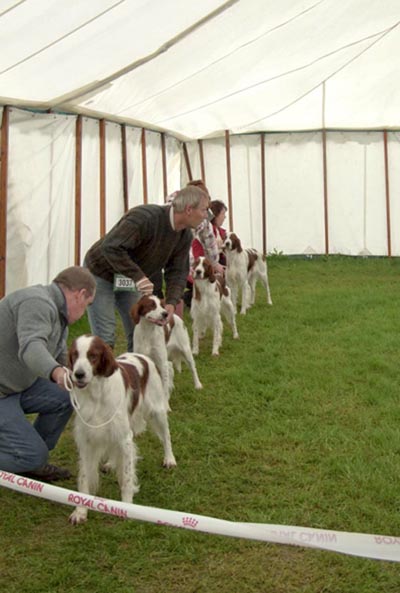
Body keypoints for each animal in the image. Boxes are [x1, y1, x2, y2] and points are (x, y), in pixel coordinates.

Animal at [67, 334, 176, 525]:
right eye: (75, 354)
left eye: (93, 355)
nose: (78, 374)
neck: (96, 395)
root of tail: (142, 356)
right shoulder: (87, 440)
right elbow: (84, 478)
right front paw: (80, 511)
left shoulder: (124, 438)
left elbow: (126, 477)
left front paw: (126, 506)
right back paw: (111, 463)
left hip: (157, 411)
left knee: (166, 437)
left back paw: (169, 459)